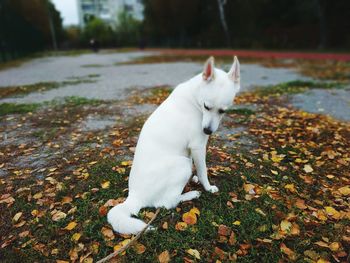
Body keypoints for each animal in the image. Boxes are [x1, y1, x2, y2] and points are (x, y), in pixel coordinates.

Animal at [108, 56, 241, 235]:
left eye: (222, 111)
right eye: (206, 107)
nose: (207, 130)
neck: (194, 98)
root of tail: (134, 197)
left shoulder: (191, 149)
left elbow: (197, 168)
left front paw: (195, 178)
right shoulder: (198, 146)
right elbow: (203, 171)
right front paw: (208, 187)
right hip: (181, 164)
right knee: (167, 203)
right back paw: (190, 195)